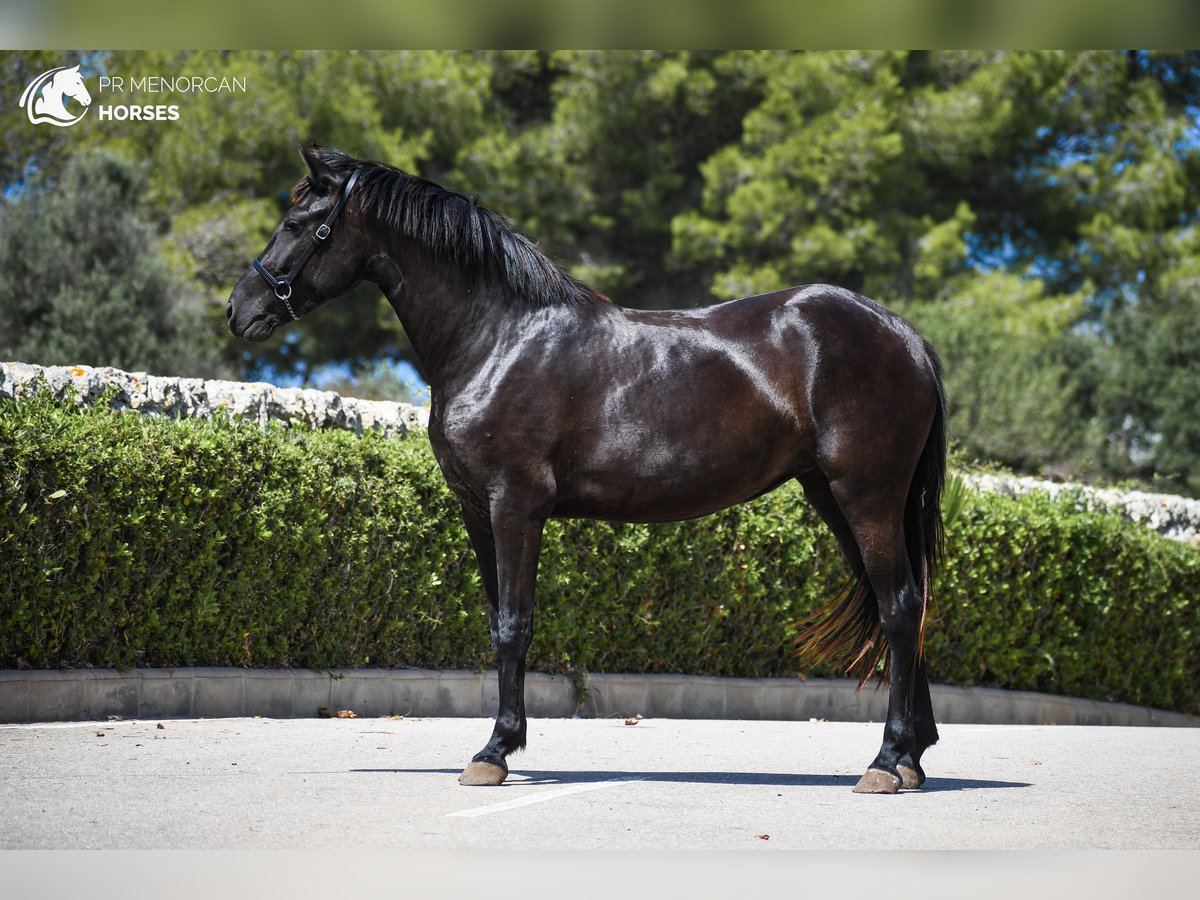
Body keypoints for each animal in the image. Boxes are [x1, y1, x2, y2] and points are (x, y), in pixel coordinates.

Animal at [226, 148, 945, 796]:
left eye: (298, 221)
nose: (239, 309)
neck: (498, 337)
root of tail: (904, 334)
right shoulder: (476, 509)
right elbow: (496, 620)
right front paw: (501, 744)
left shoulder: (515, 505)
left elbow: (514, 626)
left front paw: (493, 752)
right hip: (834, 495)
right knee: (901, 603)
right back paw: (911, 758)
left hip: (868, 496)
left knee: (901, 606)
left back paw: (885, 764)